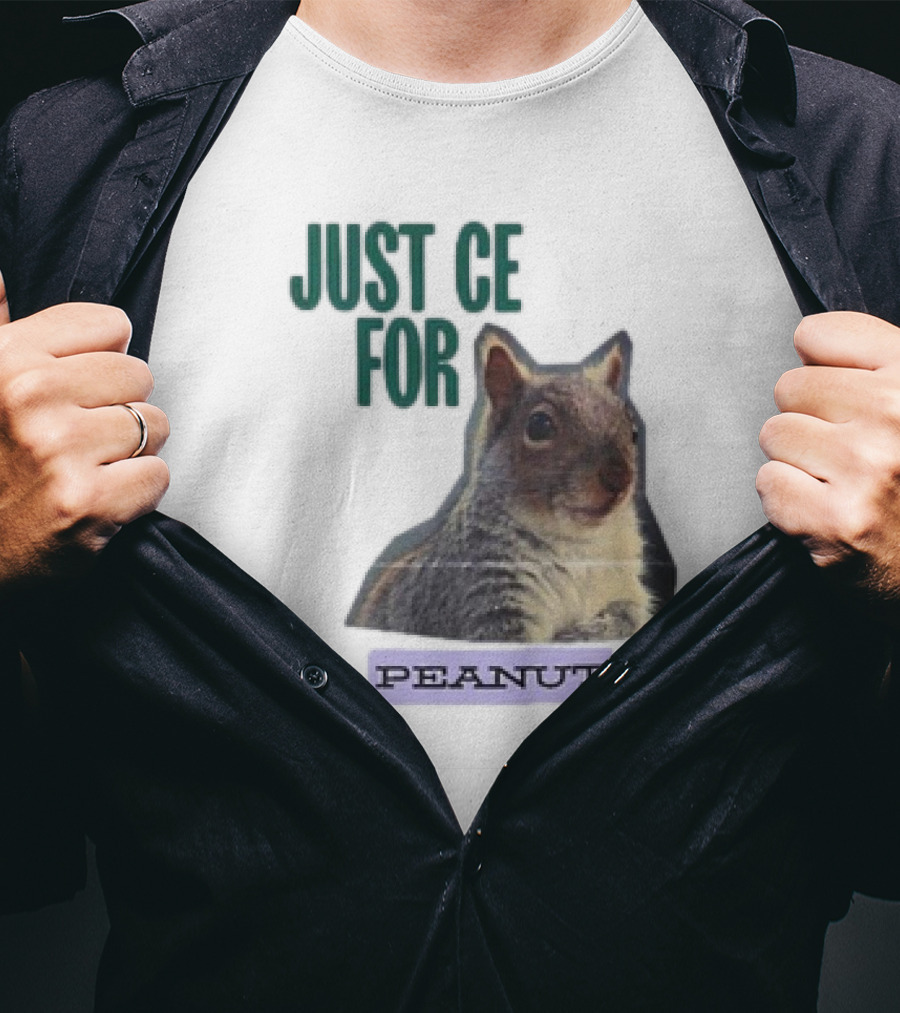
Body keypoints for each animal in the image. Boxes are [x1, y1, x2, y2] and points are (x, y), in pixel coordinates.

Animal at [347, 325, 672, 642]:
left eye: (633, 431)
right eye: (539, 426)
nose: (619, 477)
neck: (580, 546)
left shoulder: (624, 586)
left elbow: (628, 613)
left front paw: (592, 629)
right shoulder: (489, 593)